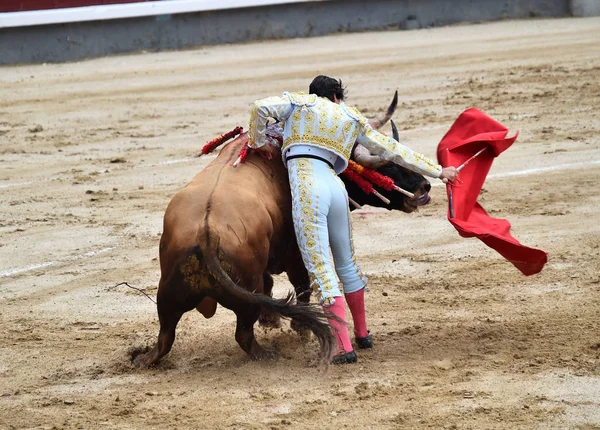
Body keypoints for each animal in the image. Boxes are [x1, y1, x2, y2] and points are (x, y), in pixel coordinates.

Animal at [132, 95, 432, 368]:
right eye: (388, 165)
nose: (425, 187)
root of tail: (206, 235)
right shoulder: (295, 253)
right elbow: (302, 285)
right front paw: (297, 328)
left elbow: (270, 284)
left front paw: (272, 320)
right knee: (244, 333)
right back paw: (271, 353)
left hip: (167, 295)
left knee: (166, 336)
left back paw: (142, 359)